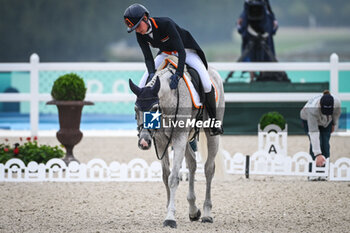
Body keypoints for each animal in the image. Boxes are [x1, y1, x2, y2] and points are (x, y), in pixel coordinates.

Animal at [129, 59, 224, 228]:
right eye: (135, 109)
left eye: (154, 108)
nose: (144, 141)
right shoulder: (161, 141)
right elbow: (166, 176)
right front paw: (169, 209)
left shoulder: (179, 138)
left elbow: (173, 178)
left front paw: (170, 218)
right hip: (186, 140)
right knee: (192, 163)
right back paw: (193, 211)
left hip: (211, 134)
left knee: (208, 169)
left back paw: (207, 213)